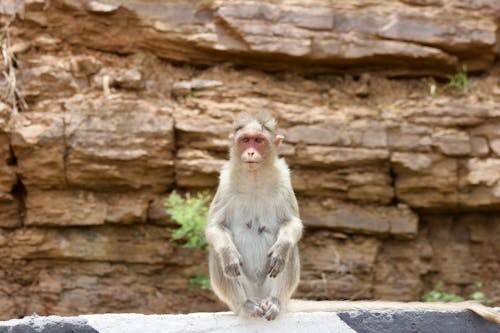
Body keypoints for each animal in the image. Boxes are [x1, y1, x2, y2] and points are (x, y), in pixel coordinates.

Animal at [205, 111, 302, 320]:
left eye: (258, 140)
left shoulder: (284, 180)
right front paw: (229, 255)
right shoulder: (225, 183)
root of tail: (259, 296)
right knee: (217, 253)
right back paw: (245, 305)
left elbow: (292, 223)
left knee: (290, 251)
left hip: (268, 288)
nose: (250, 152)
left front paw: (281, 248)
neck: (254, 178)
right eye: (245, 140)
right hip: (247, 292)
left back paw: (275, 301)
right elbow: (215, 227)